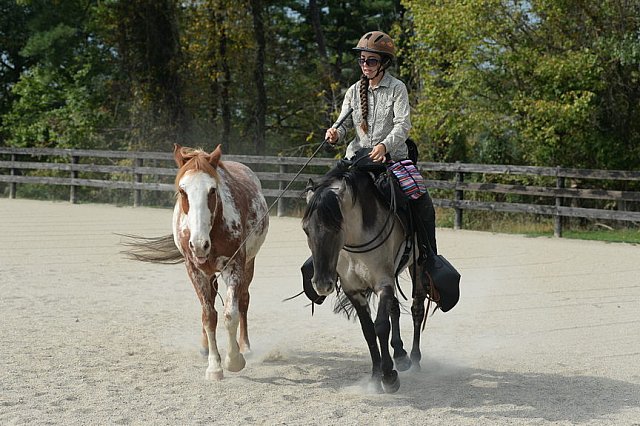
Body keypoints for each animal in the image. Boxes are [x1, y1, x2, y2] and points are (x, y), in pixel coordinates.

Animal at [171, 144, 268, 380]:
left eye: (212, 190)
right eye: (182, 191)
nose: (198, 245)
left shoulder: (234, 267)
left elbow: (230, 314)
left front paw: (233, 360)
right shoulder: (195, 271)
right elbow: (208, 316)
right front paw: (214, 367)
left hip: (249, 264)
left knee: (243, 301)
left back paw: (245, 347)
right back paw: (205, 347)